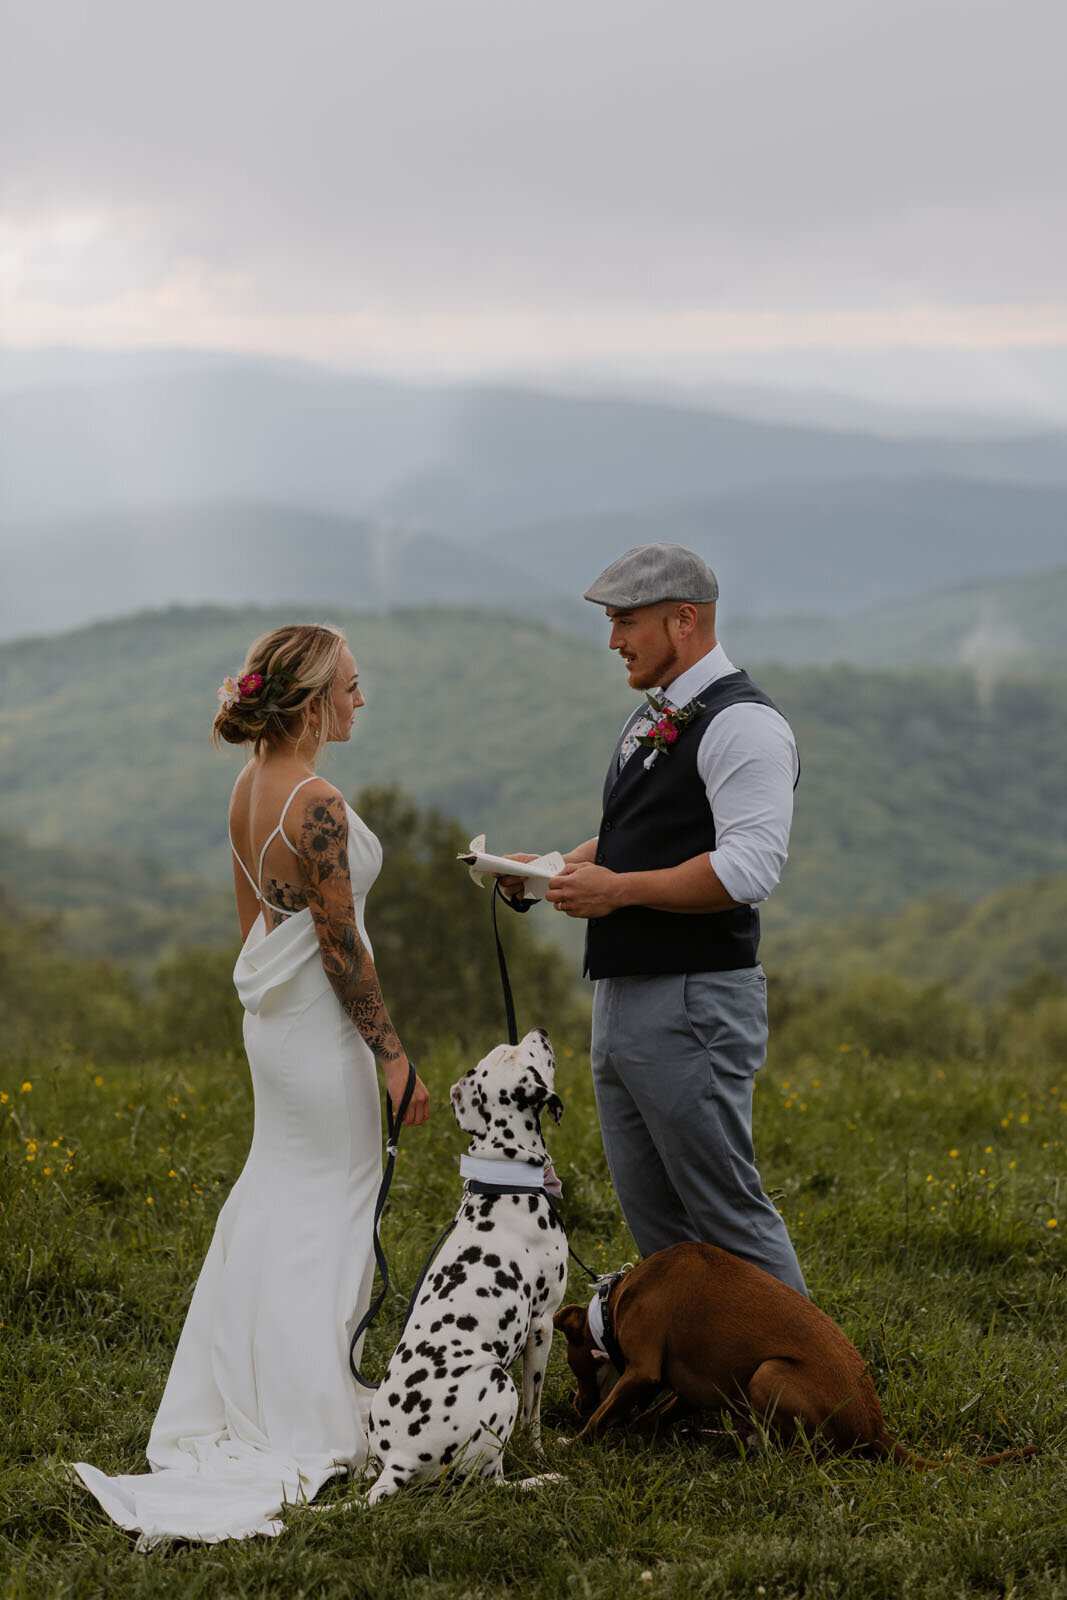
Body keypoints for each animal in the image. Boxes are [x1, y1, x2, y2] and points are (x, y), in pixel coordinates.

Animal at [367, 1024, 566, 1497]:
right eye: (530, 1055)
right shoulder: (543, 1324)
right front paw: (541, 1452)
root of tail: (400, 1458)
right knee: (493, 1482)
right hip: (500, 1382)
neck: (506, 1181)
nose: (540, 1030)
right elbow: (534, 1415)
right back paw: (540, 1480)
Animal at [556, 1235, 1036, 1472]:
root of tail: (875, 1428)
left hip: (768, 1374)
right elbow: (647, 1416)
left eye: (572, 1365)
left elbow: (605, 1418)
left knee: (808, 1453)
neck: (617, 1301)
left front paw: (571, 1446)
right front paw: (630, 1433)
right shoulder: (687, 1389)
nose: (574, 1405)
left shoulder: (643, 1372)